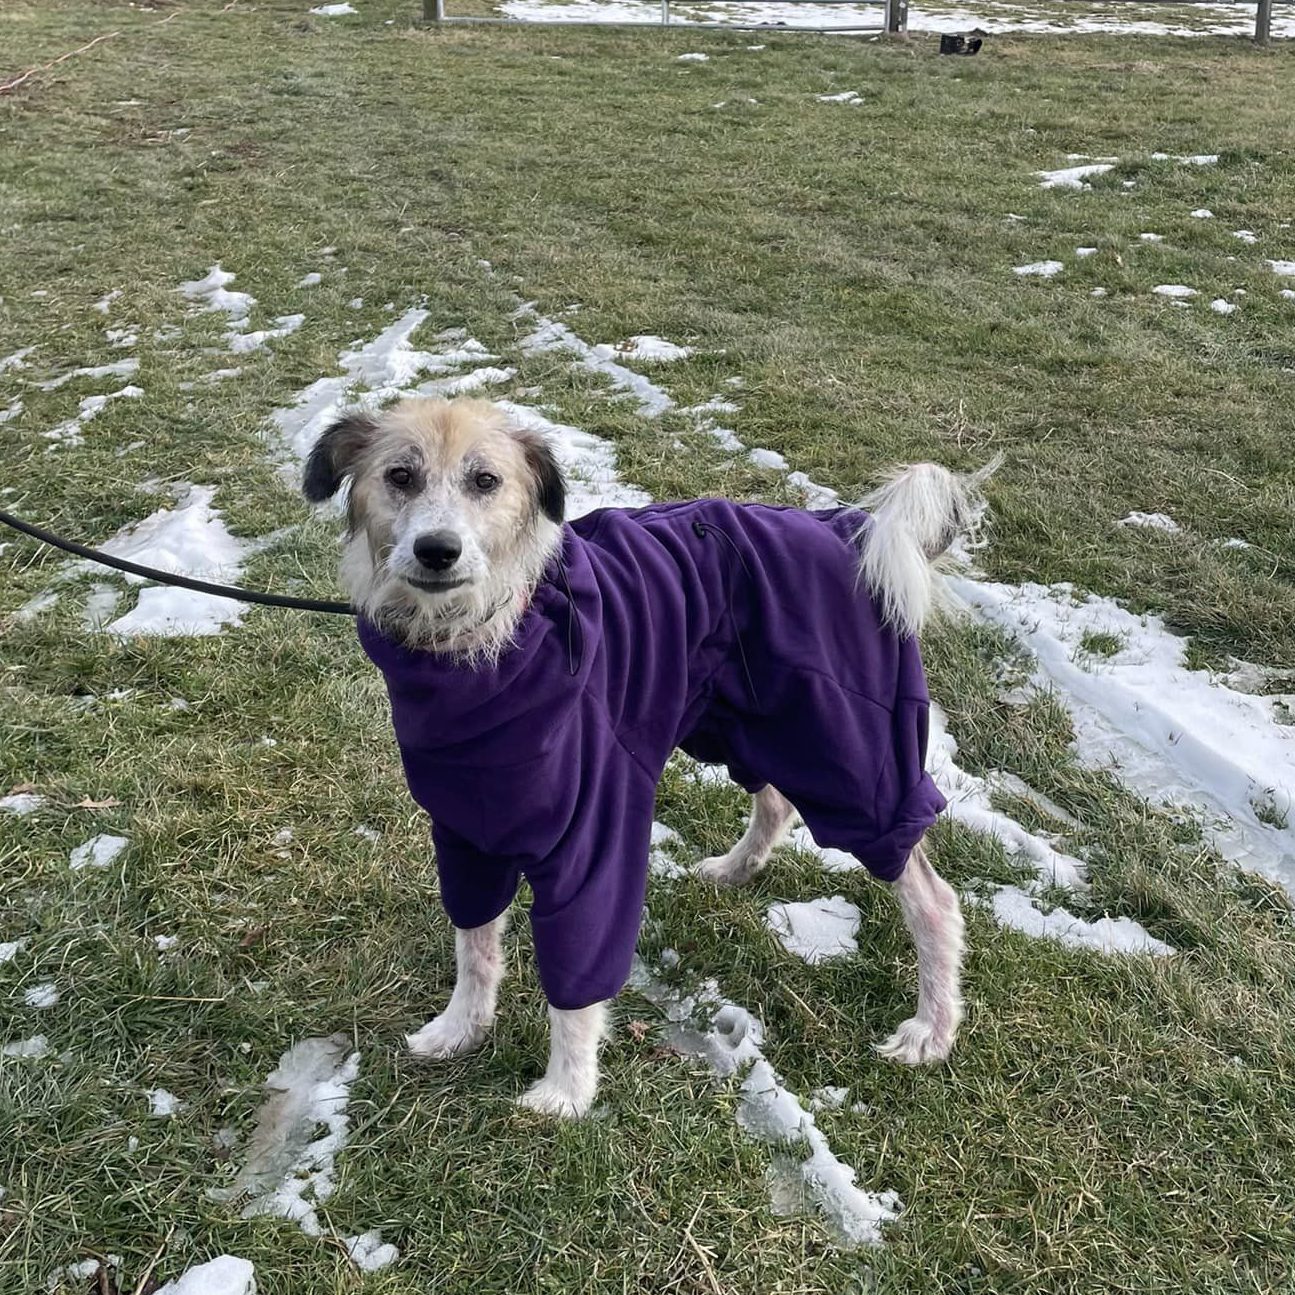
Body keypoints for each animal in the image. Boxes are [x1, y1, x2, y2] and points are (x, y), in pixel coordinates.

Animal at [297, 393, 973, 1113]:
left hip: (850, 753)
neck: (485, 643)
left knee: (932, 897)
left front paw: (566, 1091)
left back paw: (931, 1029)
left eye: (485, 481)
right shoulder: (465, 833)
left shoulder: (597, 836)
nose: (437, 550)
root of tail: (853, 531)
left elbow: (578, 973)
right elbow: (473, 945)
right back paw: (733, 871)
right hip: (739, 721)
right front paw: (460, 1029)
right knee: (774, 801)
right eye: (399, 476)